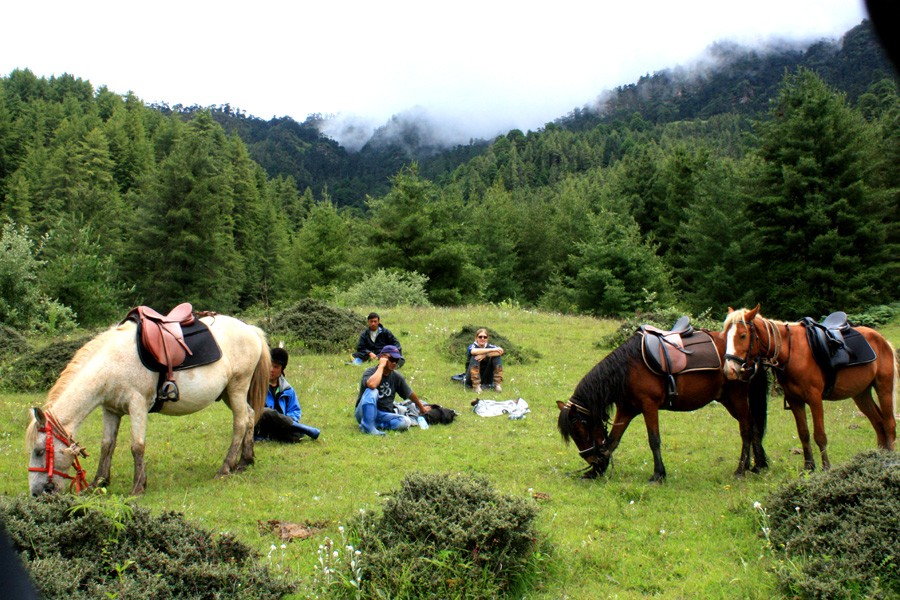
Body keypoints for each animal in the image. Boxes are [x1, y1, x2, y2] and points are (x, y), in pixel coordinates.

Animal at [25, 312, 270, 494]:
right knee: (249, 416)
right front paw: (99, 482)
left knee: (240, 422)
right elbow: (107, 445)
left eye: (39, 451)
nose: (37, 493)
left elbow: (137, 446)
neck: (112, 364)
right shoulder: (110, 410)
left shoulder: (137, 405)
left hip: (237, 387)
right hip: (229, 393)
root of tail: (250, 329)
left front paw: (138, 486)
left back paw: (226, 467)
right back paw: (245, 461)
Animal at [556, 328, 768, 482]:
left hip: (737, 397)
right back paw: (758, 466)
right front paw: (596, 471)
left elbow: (654, 440)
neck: (628, 368)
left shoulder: (649, 406)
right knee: (754, 426)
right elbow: (612, 441)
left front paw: (658, 474)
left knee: (746, 429)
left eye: (579, 430)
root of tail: (750, 353)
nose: (590, 459)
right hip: (728, 400)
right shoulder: (626, 409)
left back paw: (741, 469)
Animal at [720, 308, 896, 472]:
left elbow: (819, 435)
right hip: (861, 394)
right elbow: (803, 433)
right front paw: (809, 467)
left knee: (889, 424)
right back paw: (879, 458)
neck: (791, 351)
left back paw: (890, 460)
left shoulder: (814, 399)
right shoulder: (795, 401)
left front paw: (826, 467)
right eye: (726, 337)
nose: (729, 370)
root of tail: (882, 339)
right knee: (878, 423)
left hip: (884, 387)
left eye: (743, 335)